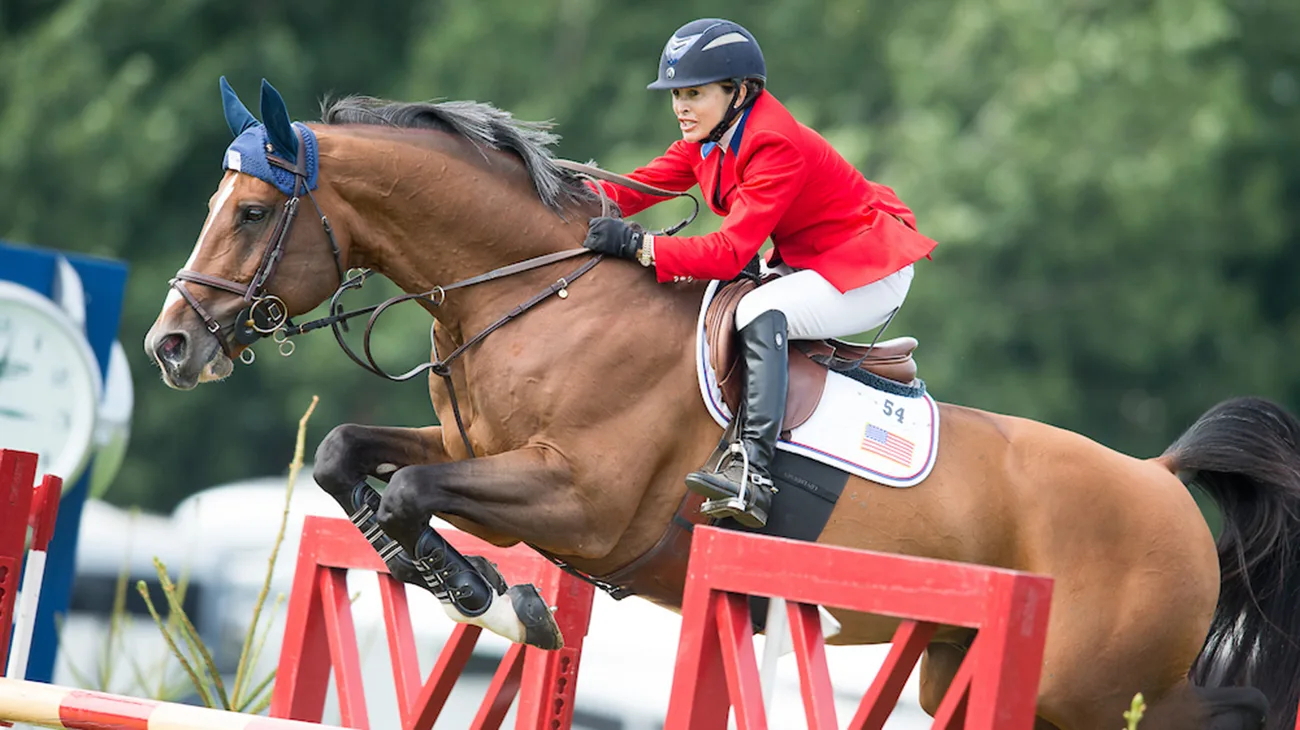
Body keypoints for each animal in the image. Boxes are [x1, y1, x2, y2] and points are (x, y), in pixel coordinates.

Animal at [144, 78, 1300, 730]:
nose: (170, 346)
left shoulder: (583, 505)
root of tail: (1158, 481)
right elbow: (350, 455)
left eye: (253, 212)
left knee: (1220, 706)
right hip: (972, 670)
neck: (537, 293)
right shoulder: (481, 451)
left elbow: (415, 490)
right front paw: (455, 581)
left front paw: (491, 598)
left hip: (1090, 686)